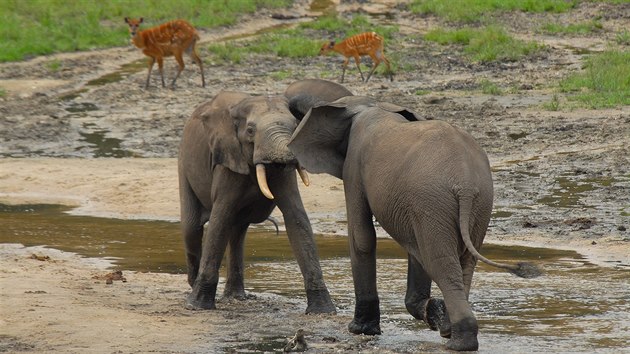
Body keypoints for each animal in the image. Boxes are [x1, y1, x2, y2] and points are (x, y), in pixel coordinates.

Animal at [178, 90, 350, 314]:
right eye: (250, 131)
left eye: (296, 125)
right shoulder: (229, 160)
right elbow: (219, 219)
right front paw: (197, 306)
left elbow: (297, 219)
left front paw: (323, 310)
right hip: (183, 161)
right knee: (192, 227)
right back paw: (194, 287)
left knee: (237, 229)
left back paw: (236, 297)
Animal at [288, 94, 540, 352]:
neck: (370, 104)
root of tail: (466, 185)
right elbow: (413, 248)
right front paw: (431, 311)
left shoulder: (354, 166)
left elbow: (362, 236)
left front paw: (360, 330)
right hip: (472, 203)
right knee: (460, 263)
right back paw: (450, 331)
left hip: (437, 199)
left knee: (440, 263)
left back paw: (458, 342)